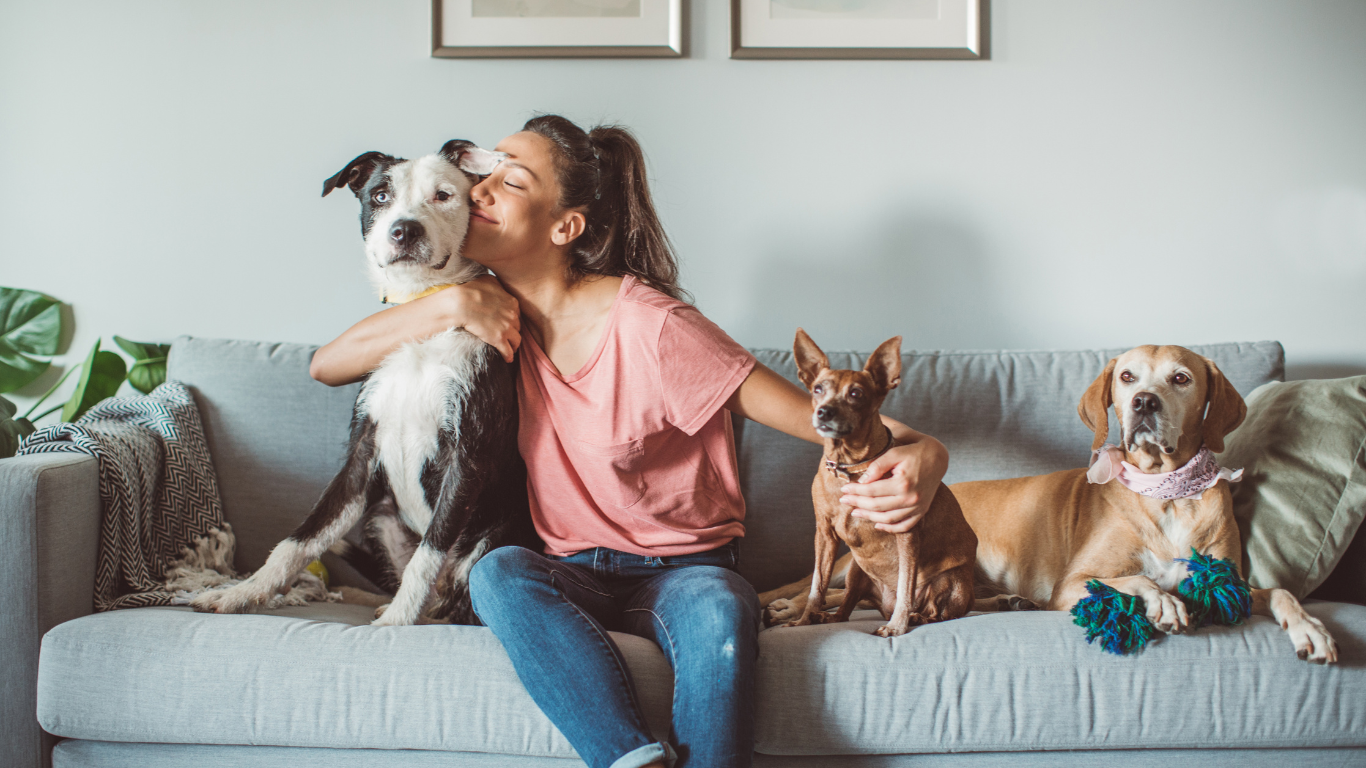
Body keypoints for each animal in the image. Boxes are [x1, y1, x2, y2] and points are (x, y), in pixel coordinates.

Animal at [193, 142, 543, 623]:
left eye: (443, 195)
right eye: (379, 195)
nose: (404, 230)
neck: (422, 315)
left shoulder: (467, 457)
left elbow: (428, 554)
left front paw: (398, 622)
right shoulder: (361, 453)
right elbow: (299, 539)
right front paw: (242, 592)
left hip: (490, 537)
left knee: (459, 602)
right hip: (380, 517)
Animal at [775, 329, 978, 634]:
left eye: (856, 394)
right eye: (817, 389)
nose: (824, 411)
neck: (849, 467)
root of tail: (883, 606)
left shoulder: (906, 535)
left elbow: (906, 585)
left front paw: (897, 626)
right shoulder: (824, 535)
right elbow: (817, 586)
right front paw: (805, 620)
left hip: (951, 580)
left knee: (937, 612)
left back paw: (915, 617)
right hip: (856, 571)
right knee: (845, 609)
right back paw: (827, 617)